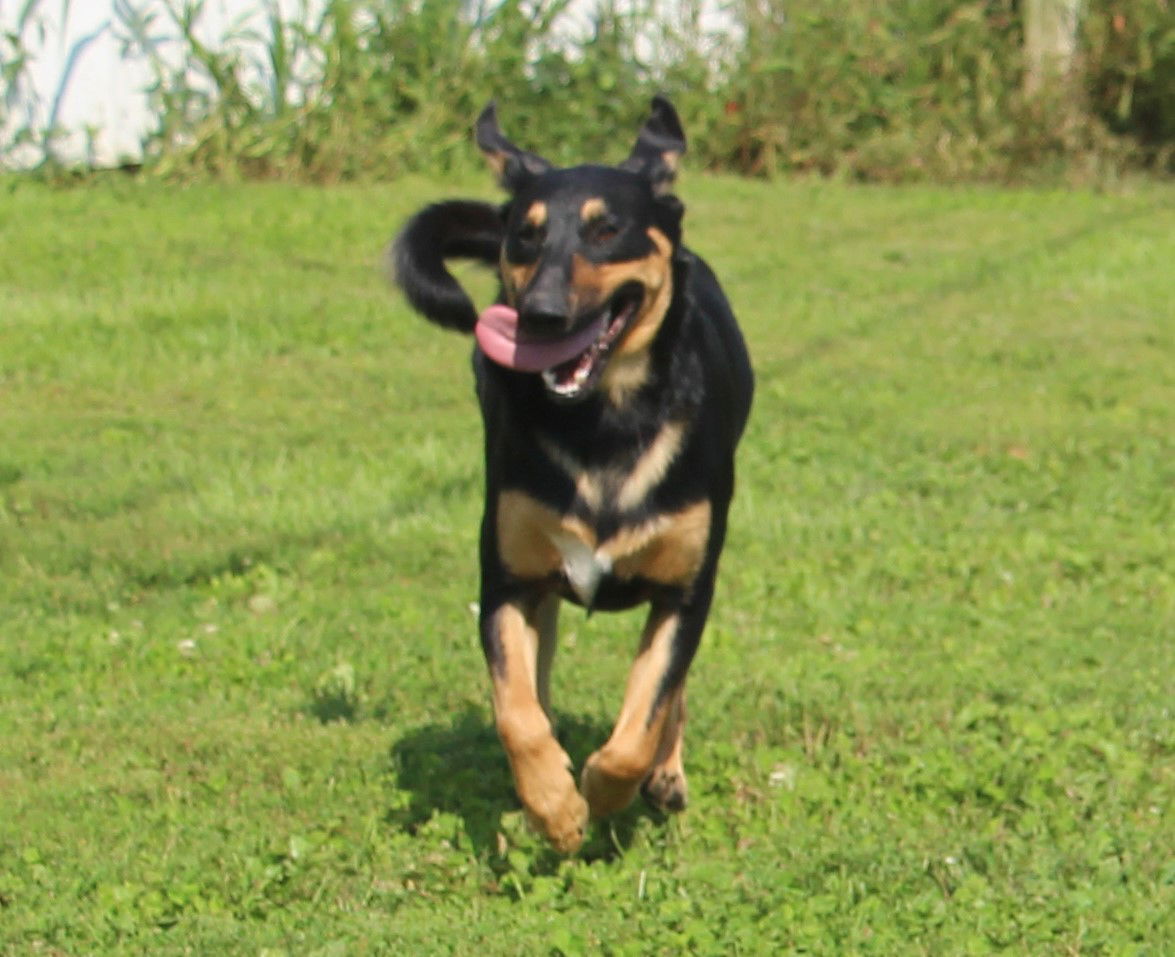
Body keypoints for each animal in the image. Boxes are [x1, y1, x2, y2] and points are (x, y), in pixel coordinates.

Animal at [390, 95, 747, 855]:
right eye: (524, 237)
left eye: (606, 229)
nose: (540, 315)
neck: (602, 420)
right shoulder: (508, 580)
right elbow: (516, 709)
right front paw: (552, 803)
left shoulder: (685, 589)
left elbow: (644, 716)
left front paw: (609, 788)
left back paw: (664, 776)